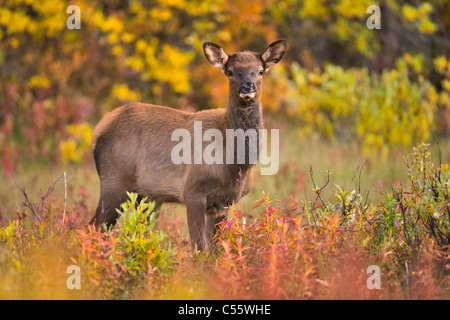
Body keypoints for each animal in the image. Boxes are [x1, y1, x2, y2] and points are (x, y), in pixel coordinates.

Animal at [88, 39, 288, 250]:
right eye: (231, 71)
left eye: (260, 70)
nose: (247, 87)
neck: (234, 164)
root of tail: (101, 127)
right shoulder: (193, 190)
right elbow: (199, 247)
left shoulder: (225, 202)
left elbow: (215, 249)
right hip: (114, 181)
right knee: (95, 225)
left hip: (145, 197)